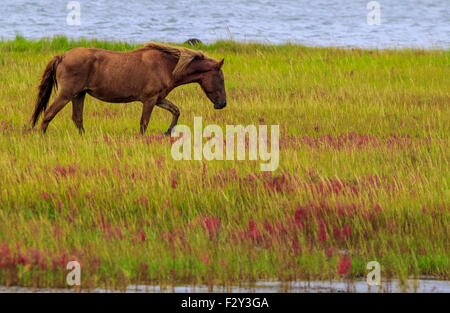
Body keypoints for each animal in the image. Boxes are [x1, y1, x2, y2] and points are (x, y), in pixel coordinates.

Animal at [31, 42, 227, 134]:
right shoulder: (149, 100)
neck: (165, 66)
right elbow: (144, 123)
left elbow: (176, 111)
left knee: (77, 119)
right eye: (222, 79)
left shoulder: (159, 99)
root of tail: (62, 56)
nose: (223, 104)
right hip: (67, 94)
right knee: (48, 114)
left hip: (79, 95)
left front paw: (167, 132)